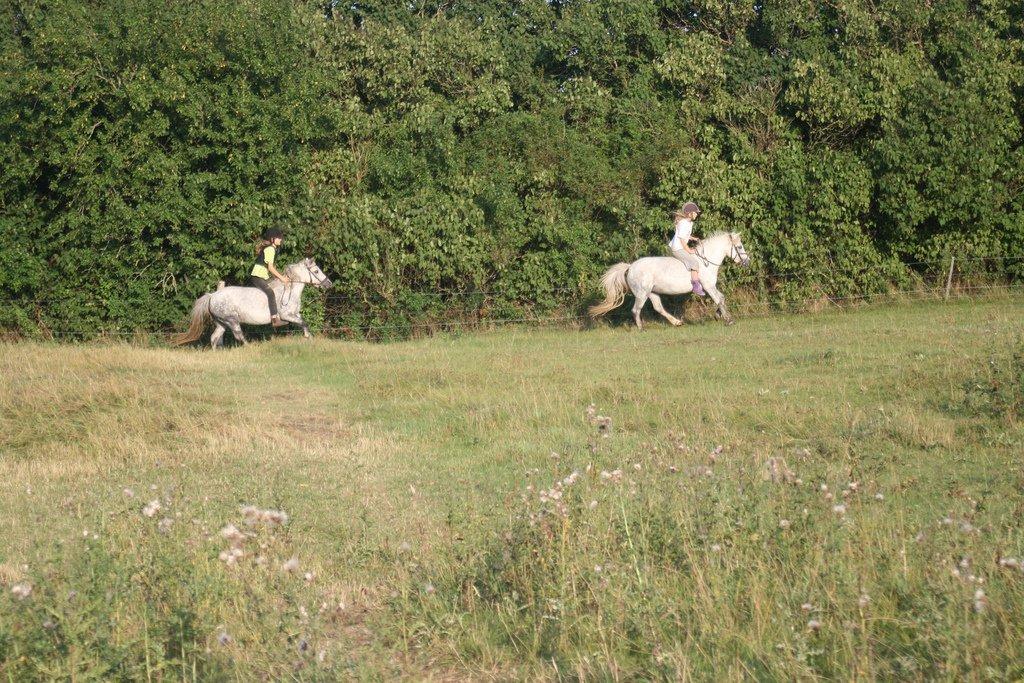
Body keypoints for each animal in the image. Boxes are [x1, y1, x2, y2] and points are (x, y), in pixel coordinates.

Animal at [172, 259, 331, 350]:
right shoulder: (286, 315)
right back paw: (250, 347)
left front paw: (310, 339)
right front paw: (307, 337)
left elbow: (303, 323)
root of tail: (212, 296)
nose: (329, 284)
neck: (289, 290)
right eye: (316, 271)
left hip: (221, 322)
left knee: (214, 338)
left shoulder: (294, 314)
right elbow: (304, 323)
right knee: (238, 336)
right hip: (232, 320)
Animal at [589, 232, 749, 327]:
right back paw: (641, 328)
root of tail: (630, 267)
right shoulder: (708, 286)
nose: (747, 261)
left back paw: (677, 322)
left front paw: (718, 316)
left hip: (652, 292)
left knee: (658, 308)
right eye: (740, 247)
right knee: (636, 310)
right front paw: (728, 319)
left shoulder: (710, 287)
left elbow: (721, 298)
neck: (706, 261)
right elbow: (719, 299)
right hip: (642, 293)